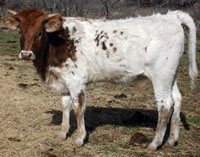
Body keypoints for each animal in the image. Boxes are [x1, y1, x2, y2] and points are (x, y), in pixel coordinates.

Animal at [3, 8, 198, 151]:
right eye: (19, 30)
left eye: (40, 32)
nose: (26, 54)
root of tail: (171, 16)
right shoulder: (64, 80)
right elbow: (65, 105)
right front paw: (63, 133)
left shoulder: (76, 81)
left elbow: (78, 108)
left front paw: (79, 139)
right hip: (170, 76)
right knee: (177, 99)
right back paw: (172, 140)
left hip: (161, 76)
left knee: (165, 105)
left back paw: (154, 143)